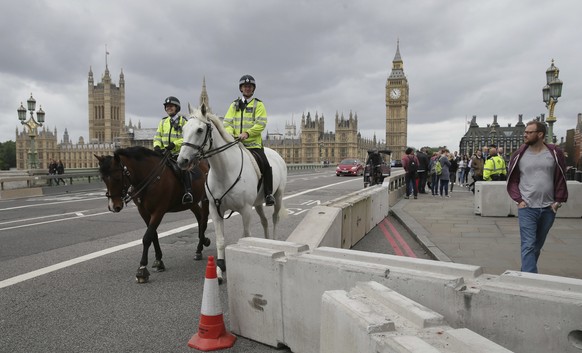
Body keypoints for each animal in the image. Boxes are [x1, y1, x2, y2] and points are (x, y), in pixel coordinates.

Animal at [96, 146, 212, 284]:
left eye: (118, 177)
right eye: (103, 178)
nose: (113, 206)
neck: (150, 178)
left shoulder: (159, 211)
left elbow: (147, 237)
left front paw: (142, 269)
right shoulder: (144, 212)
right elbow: (153, 235)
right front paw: (158, 261)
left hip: (205, 199)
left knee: (204, 221)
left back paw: (200, 247)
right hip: (191, 203)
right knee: (200, 218)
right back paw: (201, 244)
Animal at [177, 102, 288, 280]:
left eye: (200, 130)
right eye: (183, 129)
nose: (181, 161)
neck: (224, 172)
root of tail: (274, 152)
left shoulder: (245, 210)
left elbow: (245, 236)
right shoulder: (215, 210)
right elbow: (220, 241)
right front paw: (220, 269)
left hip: (278, 196)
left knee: (275, 218)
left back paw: (274, 240)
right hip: (257, 203)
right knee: (264, 220)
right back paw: (266, 242)